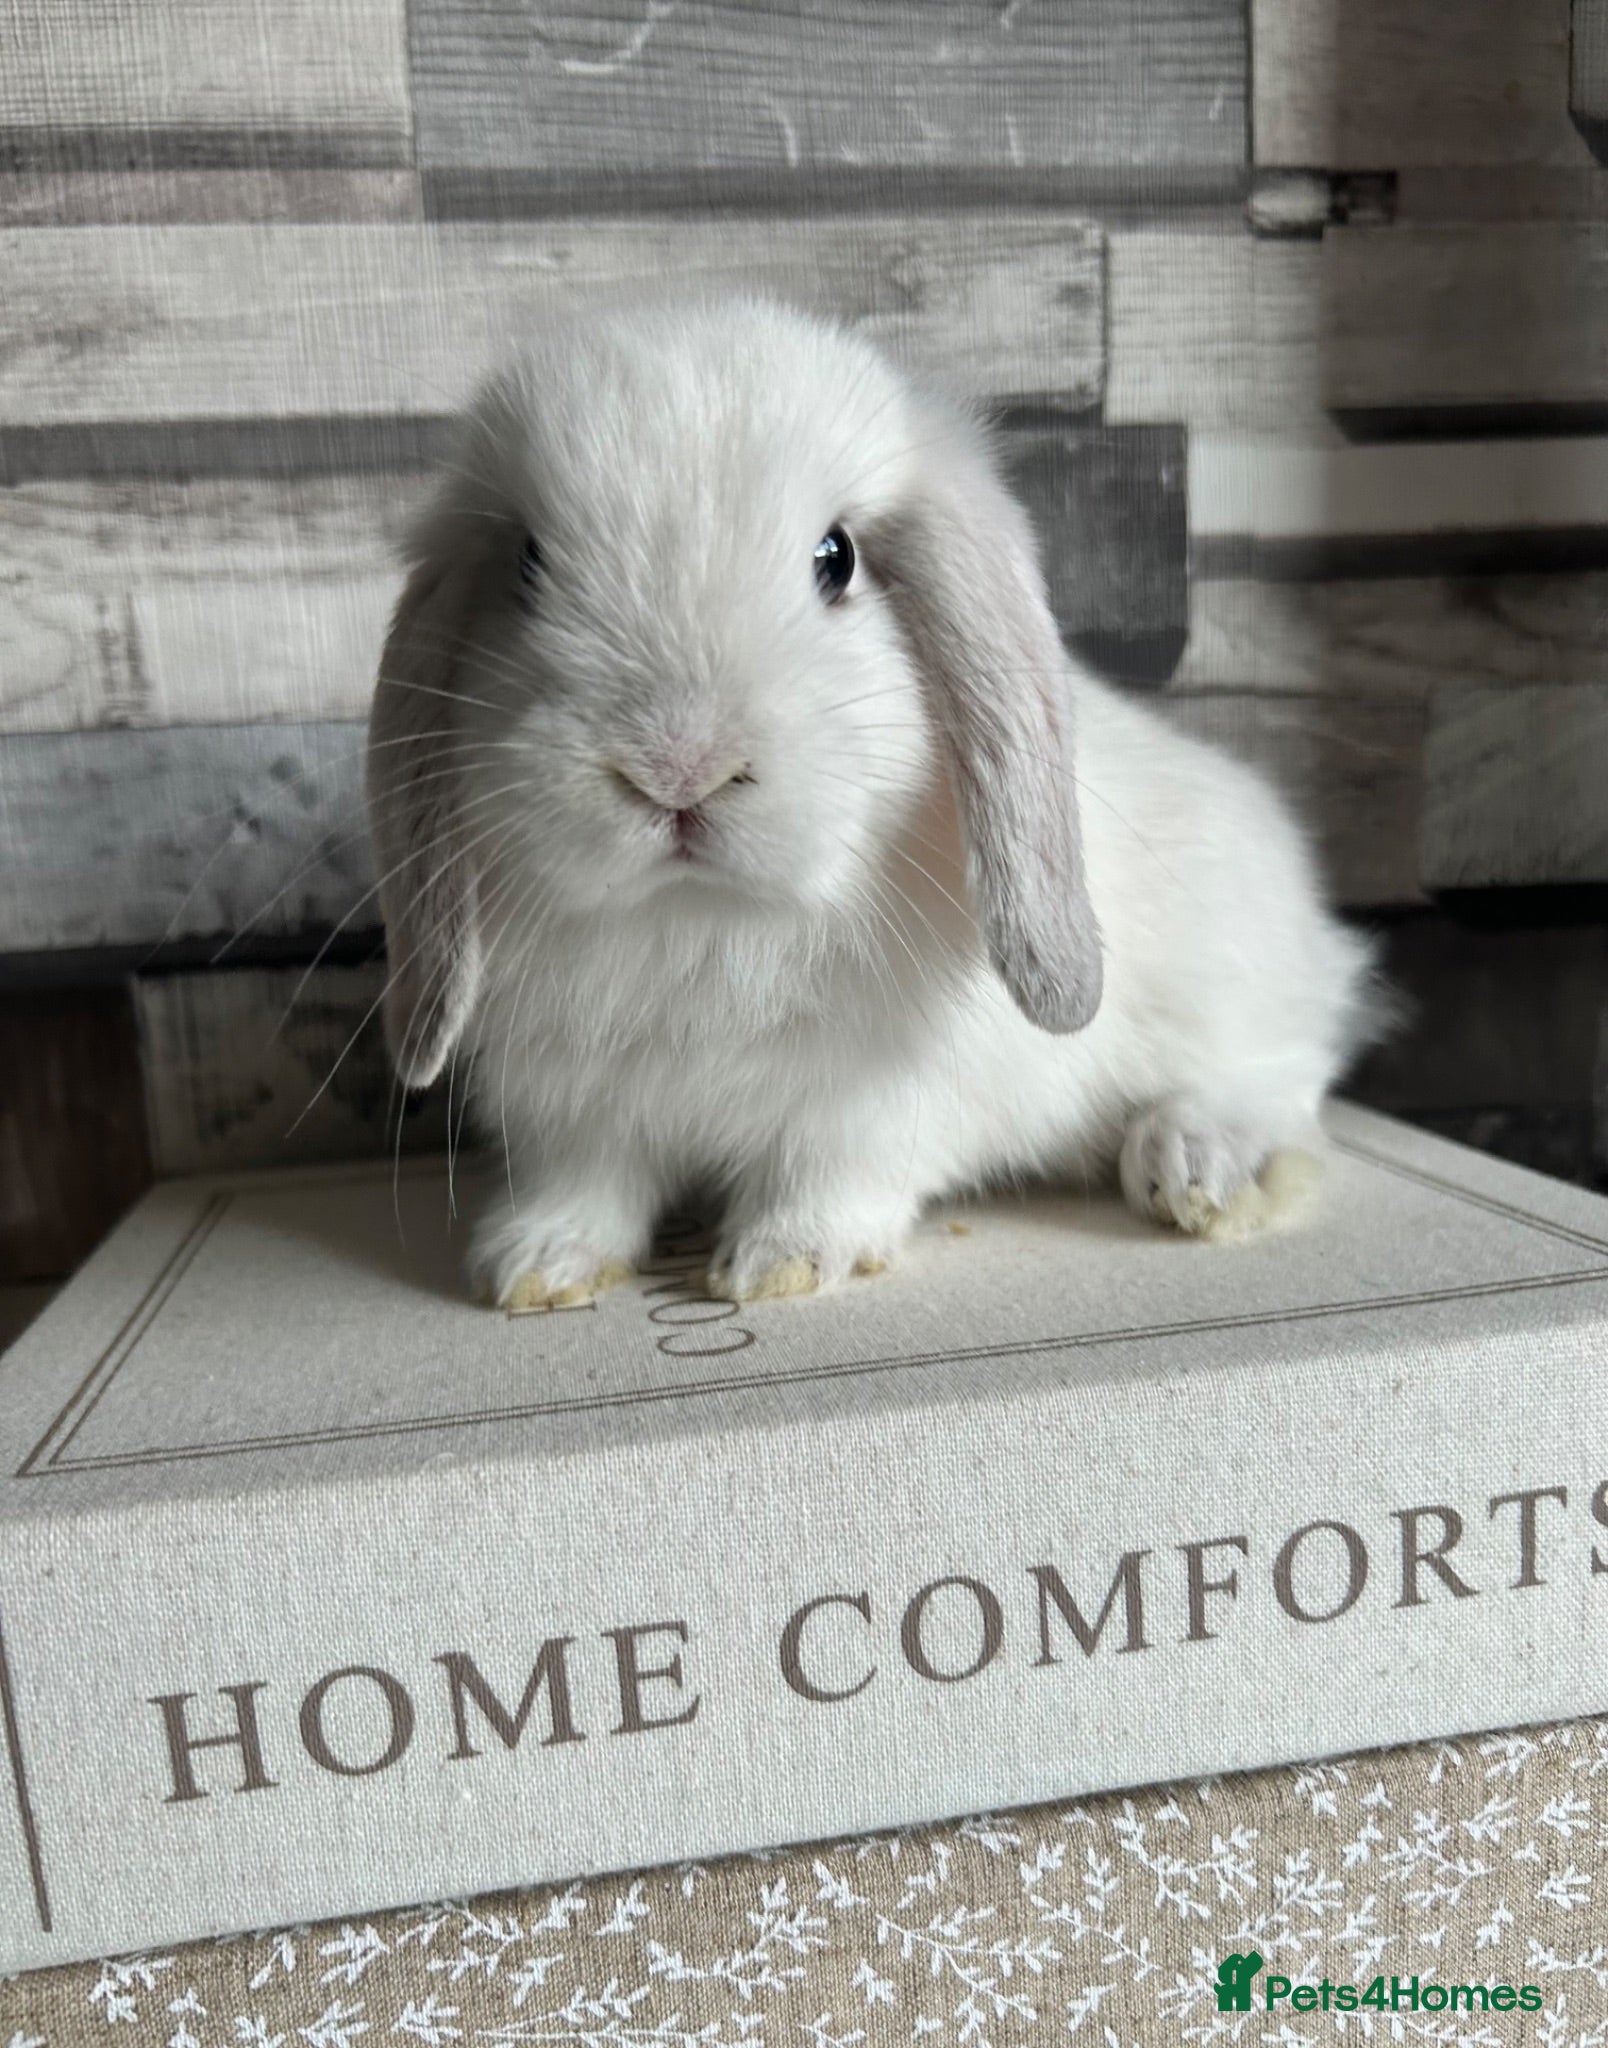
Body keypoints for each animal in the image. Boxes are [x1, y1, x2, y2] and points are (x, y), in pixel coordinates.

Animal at [365, 295, 1384, 1310]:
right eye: (528, 565)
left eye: (837, 558)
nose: (677, 768)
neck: (700, 920)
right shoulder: (576, 1110)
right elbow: (588, 1182)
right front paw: (535, 1266)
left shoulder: (875, 1104)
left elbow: (827, 1172)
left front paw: (781, 1262)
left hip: (1238, 974)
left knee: (1286, 1068)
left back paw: (1199, 1164)